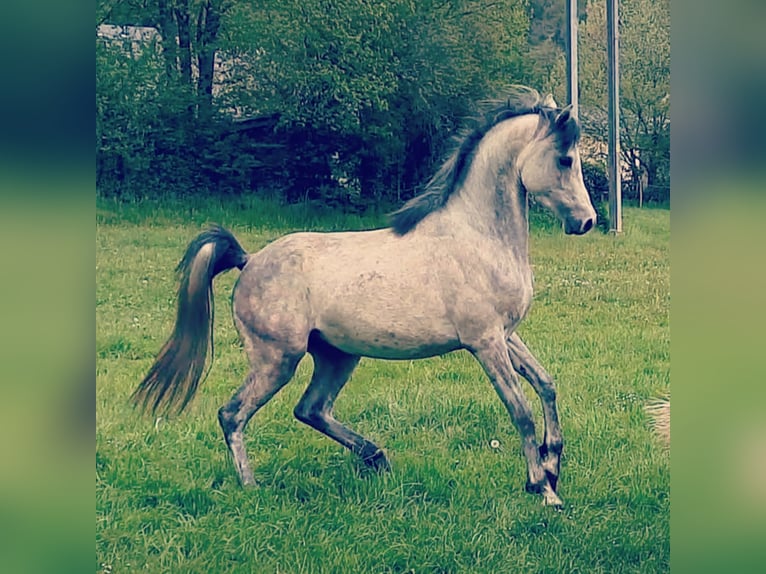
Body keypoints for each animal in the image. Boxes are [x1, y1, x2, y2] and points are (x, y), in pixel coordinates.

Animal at [132, 85, 600, 508]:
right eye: (565, 159)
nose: (587, 221)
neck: (478, 236)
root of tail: (248, 261)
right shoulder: (484, 341)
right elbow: (520, 409)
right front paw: (544, 489)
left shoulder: (505, 335)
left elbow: (546, 385)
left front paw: (552, 465)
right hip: (276, 360)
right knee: (233, 414)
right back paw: (252, 487)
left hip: (337, 356)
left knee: (311, 409)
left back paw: (376, 458)